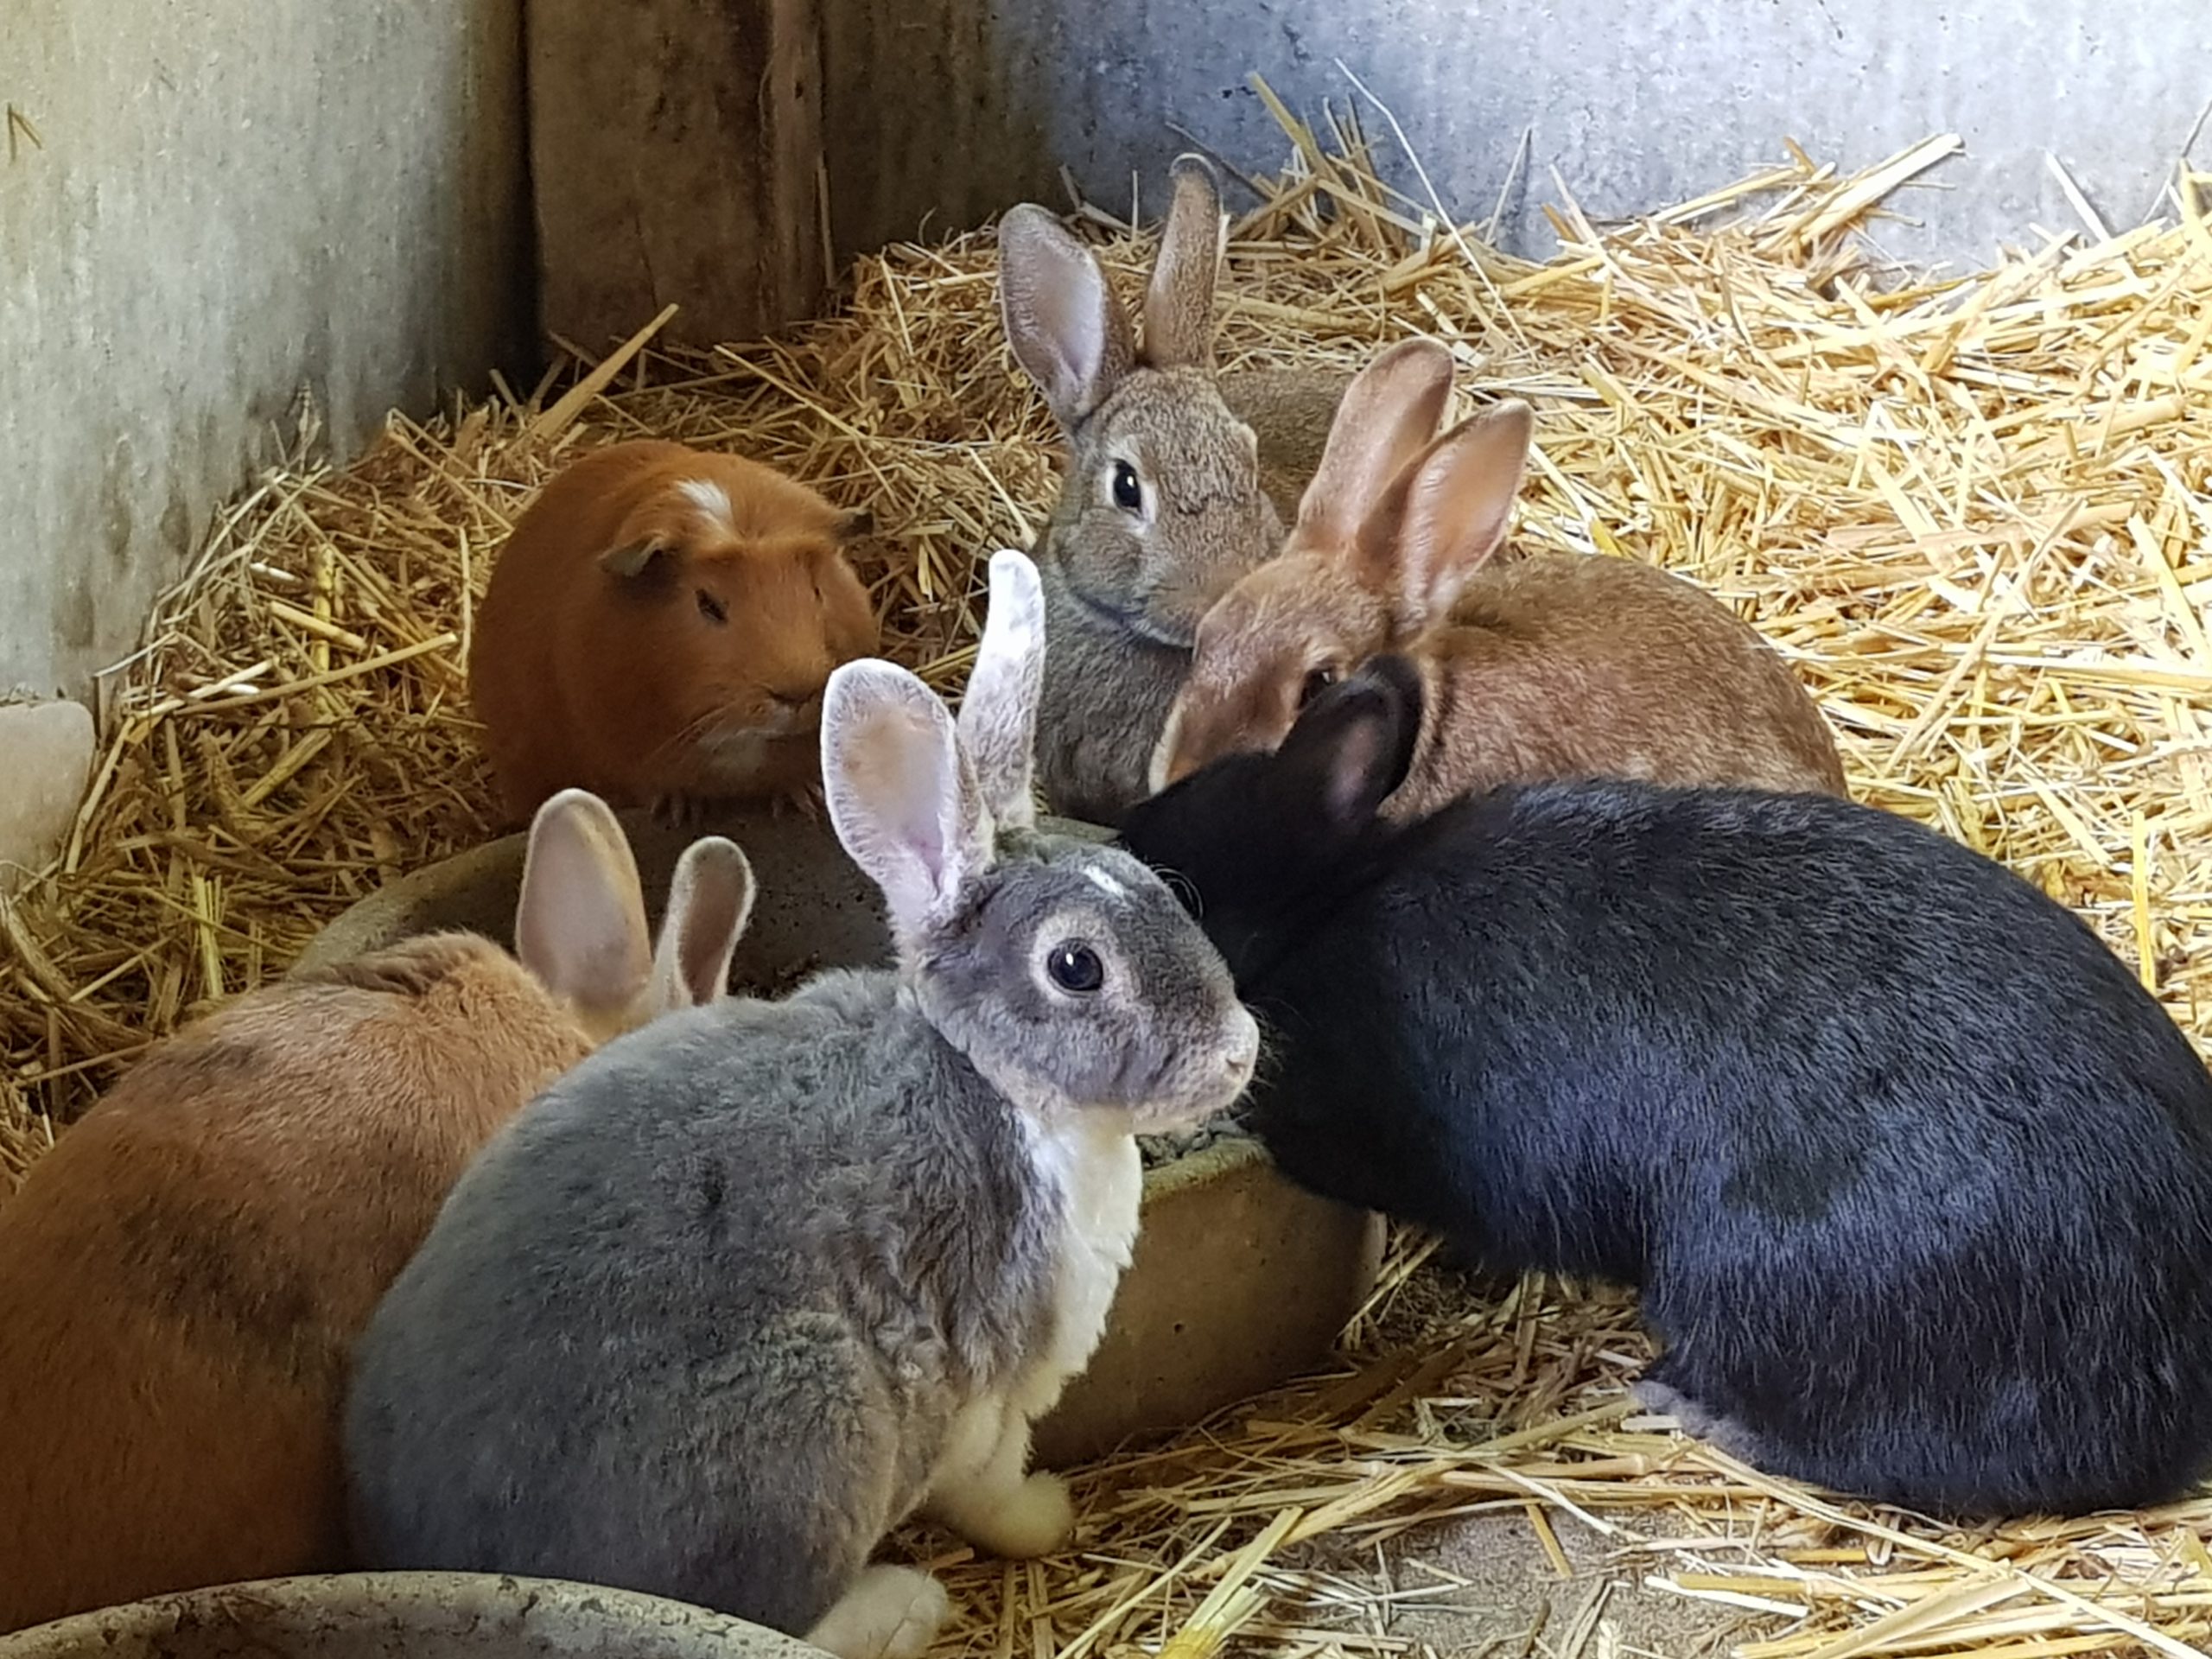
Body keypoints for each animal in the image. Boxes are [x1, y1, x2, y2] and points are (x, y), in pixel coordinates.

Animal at [343, 550, 1261, 1659]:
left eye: (1150, 883)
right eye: (1076, 967)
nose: (1236, 1055)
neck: (991, 1083)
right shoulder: (990, 1394)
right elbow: (992, 1488)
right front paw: (1047, 1517)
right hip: (817, 1433)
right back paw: (909, 1603)